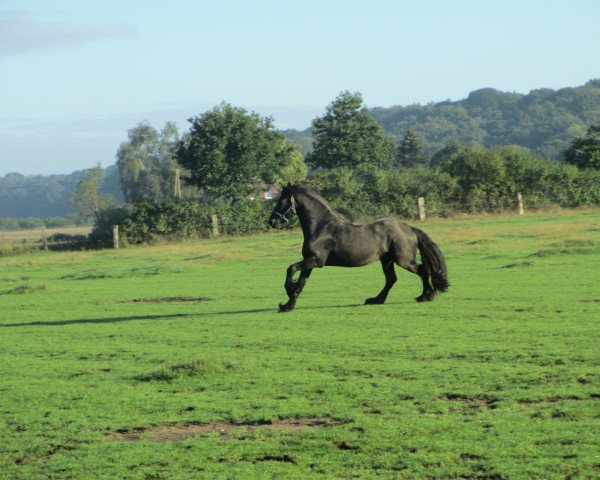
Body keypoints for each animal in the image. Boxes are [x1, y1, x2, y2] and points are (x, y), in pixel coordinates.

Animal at [270, 183, 448, 312]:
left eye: (282, 201)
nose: (271, 222)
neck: (321, 227)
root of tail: (409, 229)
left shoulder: (316, 260)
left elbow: (291, 269)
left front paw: (289, 290)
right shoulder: (310, 261)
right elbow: (301, 282)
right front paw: (288, 305)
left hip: (403, 260)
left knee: (422, 270)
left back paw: (425, 296)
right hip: (387, 260)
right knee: (391, 279)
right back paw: (376, 300)